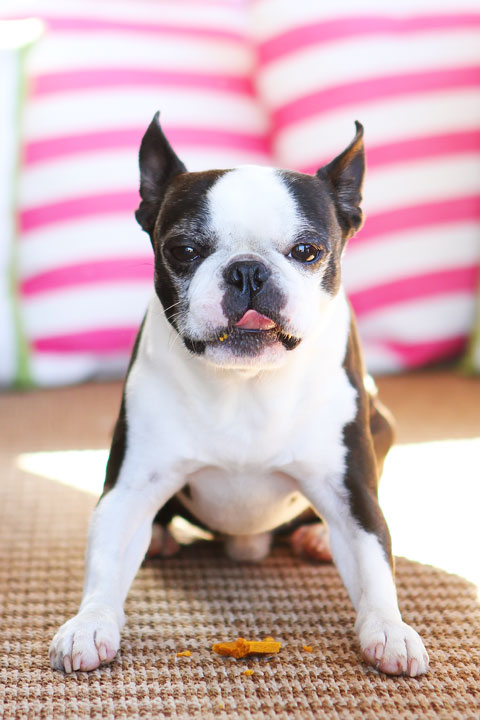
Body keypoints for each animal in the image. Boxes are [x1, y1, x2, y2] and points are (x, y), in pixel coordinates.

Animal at [50, 112, 430, 676]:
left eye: (307, 251)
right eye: (183, 251)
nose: (248, 270)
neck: (247, 383)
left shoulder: (351, 491)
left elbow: (373, 556)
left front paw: (389, 628)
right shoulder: (130, 487)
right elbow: (105, 558)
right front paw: (90, 622)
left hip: (383, 424)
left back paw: (316, 536)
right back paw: (159, 535)